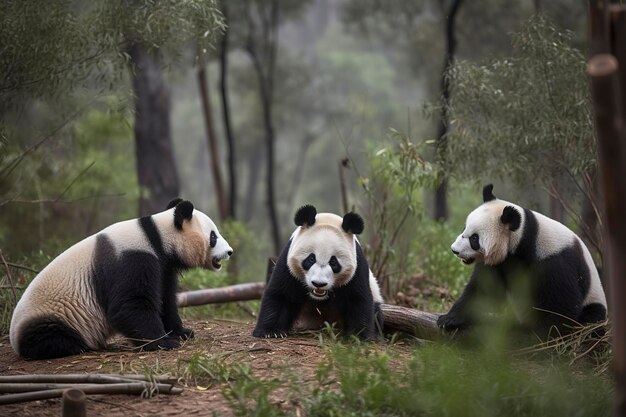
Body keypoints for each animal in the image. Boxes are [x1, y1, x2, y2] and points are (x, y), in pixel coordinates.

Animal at [8, 198, 233, 358]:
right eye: (213, 236)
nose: (230, 252)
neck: (155, 235)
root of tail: (13, 339)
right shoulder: (130, 258)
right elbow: (130, 306)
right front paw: (163, 342)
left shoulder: (163, 264)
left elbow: (165, 299)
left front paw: (181, 332)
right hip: (50, 316)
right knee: (51, 337)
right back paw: (77, 345)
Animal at [252, 204, 380, 338]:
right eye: (311, 258)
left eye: (333, 262)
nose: (319, 284)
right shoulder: (288, 263)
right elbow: (281, 294)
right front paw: (270, 331)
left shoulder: (357, 267)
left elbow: (358, 299)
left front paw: (359, 335)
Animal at [436, 184, 608, 336]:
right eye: (464, 229)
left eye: (474, 239)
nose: (454, 250)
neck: (526, 237)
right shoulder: (501, 261)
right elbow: (483, 290)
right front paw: (449, 319)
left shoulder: (554, 261)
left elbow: (561, 307)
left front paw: (539, 335)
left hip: (594, 300)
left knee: (591, 317)